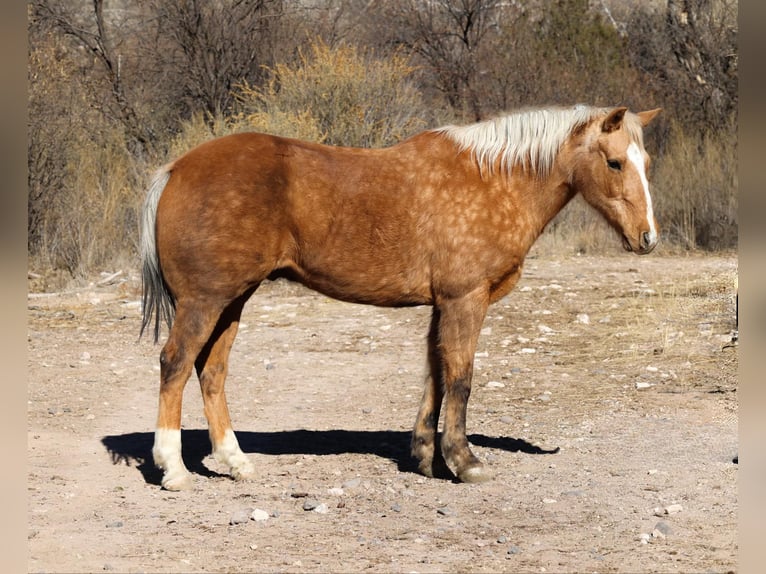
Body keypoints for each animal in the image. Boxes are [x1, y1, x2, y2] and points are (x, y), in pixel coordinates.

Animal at [140, 104, 661, 490]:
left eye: (646, 164)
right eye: (615, 162)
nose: (647, 238)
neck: (492, 179)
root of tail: (176, 168)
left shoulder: (442, 305)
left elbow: (436, 375)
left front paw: (427, 457)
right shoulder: (465, 300)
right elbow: (461, 378)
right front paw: (464, 461)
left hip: (232, 301)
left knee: (211, 372)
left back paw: (235, 462)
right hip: (205, 302)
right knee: (175, 364)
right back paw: (173, 468)